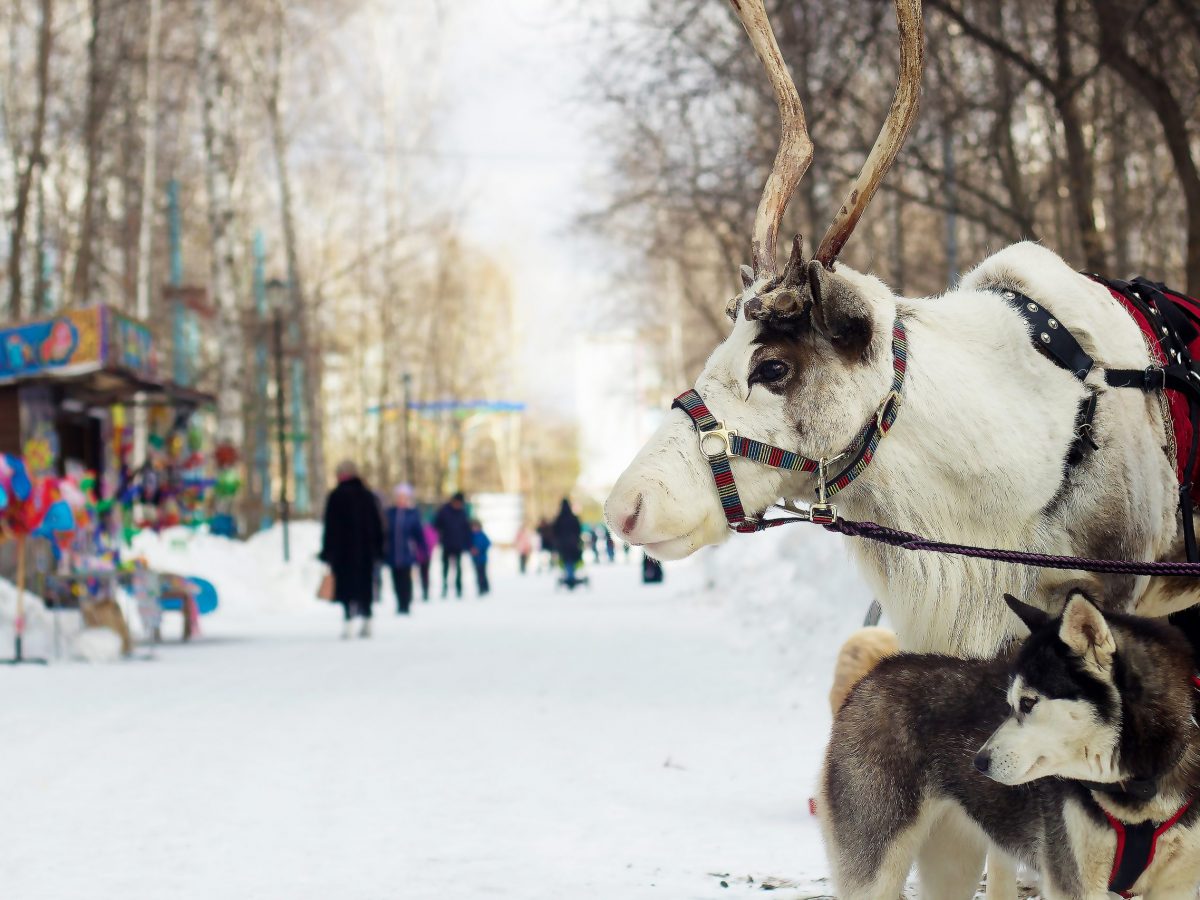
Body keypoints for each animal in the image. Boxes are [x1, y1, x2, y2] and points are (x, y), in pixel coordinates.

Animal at [820, 595, 1200, 900]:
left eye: (1028, 703)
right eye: (1009, 703)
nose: (978, 762)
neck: (1140, 788)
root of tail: (875, 673)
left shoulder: (1178, 886)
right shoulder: (1074, 882)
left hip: (953, 865)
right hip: (876, 866)